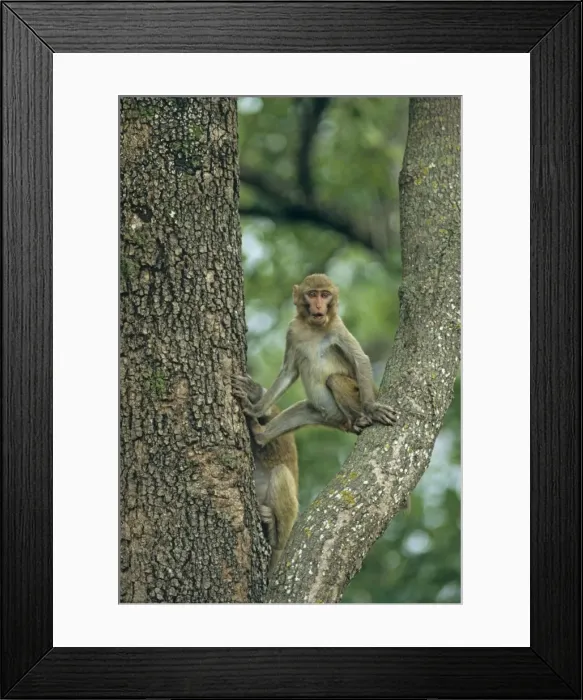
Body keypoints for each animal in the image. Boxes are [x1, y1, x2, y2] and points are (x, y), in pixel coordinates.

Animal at [232, 273, 398, 448]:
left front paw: (372, 408)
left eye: (325, 295)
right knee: (304, 409)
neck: (313, 327)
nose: (318, 306)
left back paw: (361, 419)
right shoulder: (293, 330)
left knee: (334, 379)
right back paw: (260, 434)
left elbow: (360, 359)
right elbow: (288, 372)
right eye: (312, 294)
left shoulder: (337, 326)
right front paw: (255, 408)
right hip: (327, 416)